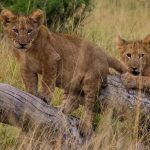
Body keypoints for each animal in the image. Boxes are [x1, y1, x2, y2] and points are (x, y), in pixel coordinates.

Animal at [0, 9, 126, 137]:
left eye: (29, 31)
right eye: (15, 30)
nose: (22, 44)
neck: (28, 51)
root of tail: (103, 53)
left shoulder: (51, 59)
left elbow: (47, 81)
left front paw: (44, 97)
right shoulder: (26, 68)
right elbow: (30, 84)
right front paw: (32, 95)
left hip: (91, 81)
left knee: (89, 105)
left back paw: (86, 127)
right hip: (72, 82)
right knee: (74, 101)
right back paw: (62, 109)